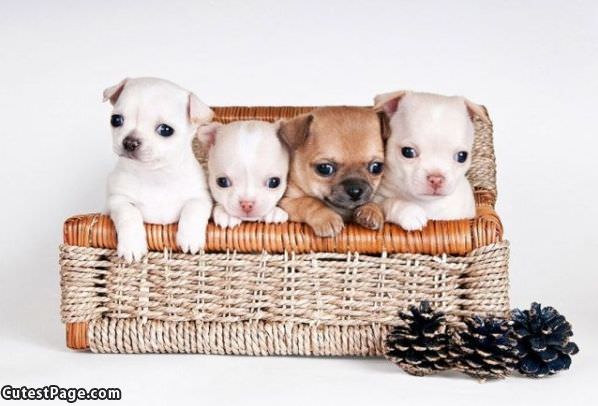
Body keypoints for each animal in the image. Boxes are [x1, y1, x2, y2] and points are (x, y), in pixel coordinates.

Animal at [104, 77, 214, 262]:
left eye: (165, 130)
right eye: (116, 120)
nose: (130, 142)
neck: (155, 175)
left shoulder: (201, 197)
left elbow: (193, 208)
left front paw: (190, 238)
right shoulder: (118, 200)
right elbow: (129, 214)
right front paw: (132, 245)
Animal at [376, 92, 492, 232]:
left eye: (462, 156)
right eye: (408, 152)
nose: (436, 178)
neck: (428, 204)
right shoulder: (377, 198)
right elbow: (391, 201)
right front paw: (410, 213)